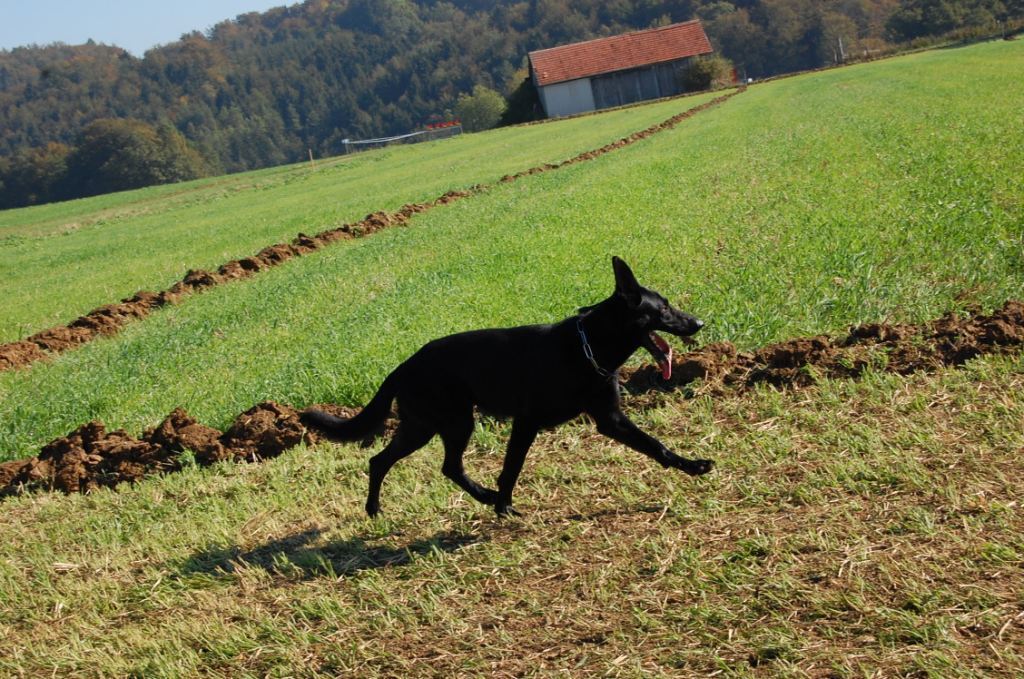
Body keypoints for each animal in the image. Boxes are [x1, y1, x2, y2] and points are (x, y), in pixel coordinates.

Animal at [301, 258, 712, 518]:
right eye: (664, 309)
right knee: (413, 463)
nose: (699, 323)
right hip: (443, 423)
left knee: (414, 463)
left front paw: (692, 466)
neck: (589, 346)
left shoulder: (610, 419)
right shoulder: (526, 422)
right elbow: (511, 467)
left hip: (432, 425)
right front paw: (503, 505)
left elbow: (655, 445)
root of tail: (403, 366)